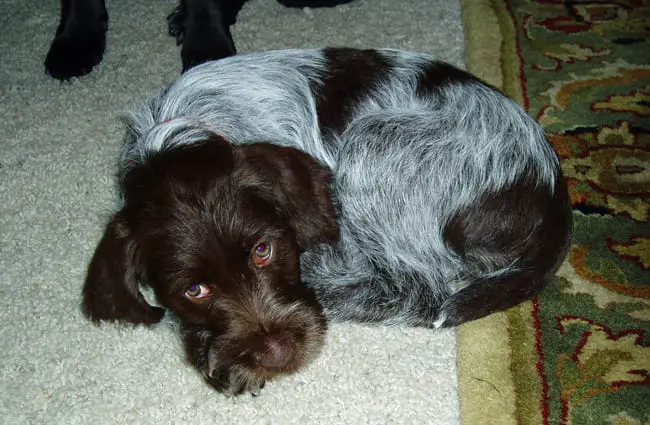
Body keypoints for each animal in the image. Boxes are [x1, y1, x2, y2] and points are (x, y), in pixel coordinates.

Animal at [79, 48, 568, 396]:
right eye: (194, 290)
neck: (177, 137)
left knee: (416, 292)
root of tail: (550, 181)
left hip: (373, 144)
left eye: (264, 251)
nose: (277, 353)